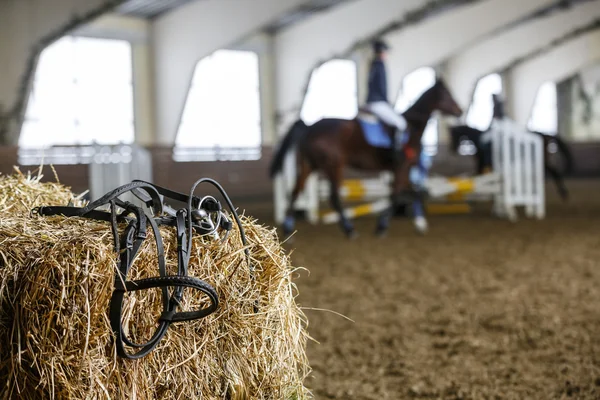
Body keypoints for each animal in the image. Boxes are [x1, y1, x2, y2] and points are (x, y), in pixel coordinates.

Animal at [270, 79, 462, 239]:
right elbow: (397, 195)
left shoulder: (405, 169)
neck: (411, 127)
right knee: (334, 197)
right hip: (333, 166)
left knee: (295, 191)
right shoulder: (401, 167)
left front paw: (420, 224)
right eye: (446, 93)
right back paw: (349, 230)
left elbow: (414, 192)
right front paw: (382, 226)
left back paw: (288, 230)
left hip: (308, 165)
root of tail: (310, 127)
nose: (460, 111)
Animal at [448, 94, 576, 200]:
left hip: (541, 160)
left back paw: (563, 193)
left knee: (554, 172)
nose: (452, 149)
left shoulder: (482, 162)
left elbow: (479, 175)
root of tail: (545, 134)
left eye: (453, 135)